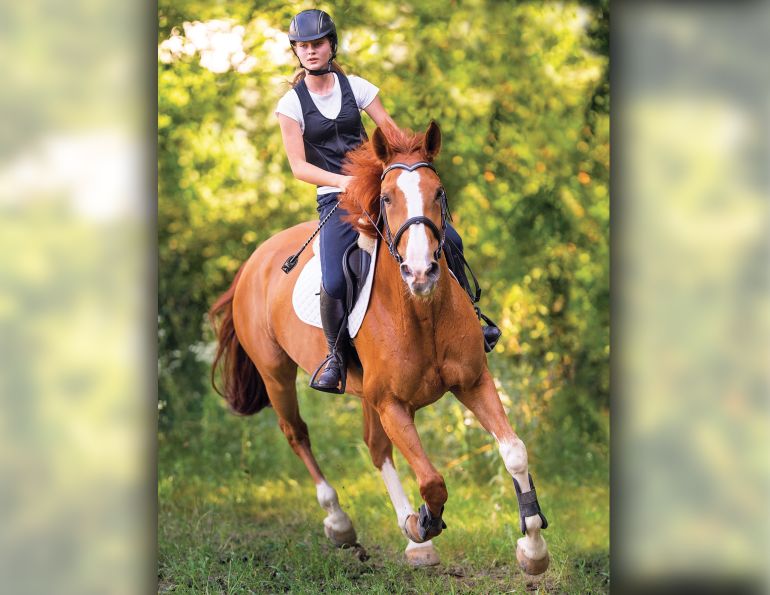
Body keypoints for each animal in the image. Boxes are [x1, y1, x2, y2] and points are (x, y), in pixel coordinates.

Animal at [209, 122, 550, 573]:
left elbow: (514, 452)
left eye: (438, 192)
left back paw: (409, 541)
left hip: (365, 393)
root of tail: (254, 260)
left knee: (375, 447)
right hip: (276, 374)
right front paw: (423, 523)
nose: (421, 272)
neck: (421, 311)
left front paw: (533, 548)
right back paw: (340, 522)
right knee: (297, 433)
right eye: (386, 198)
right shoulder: (393, 403)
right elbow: (432, 481)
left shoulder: (472, 382)